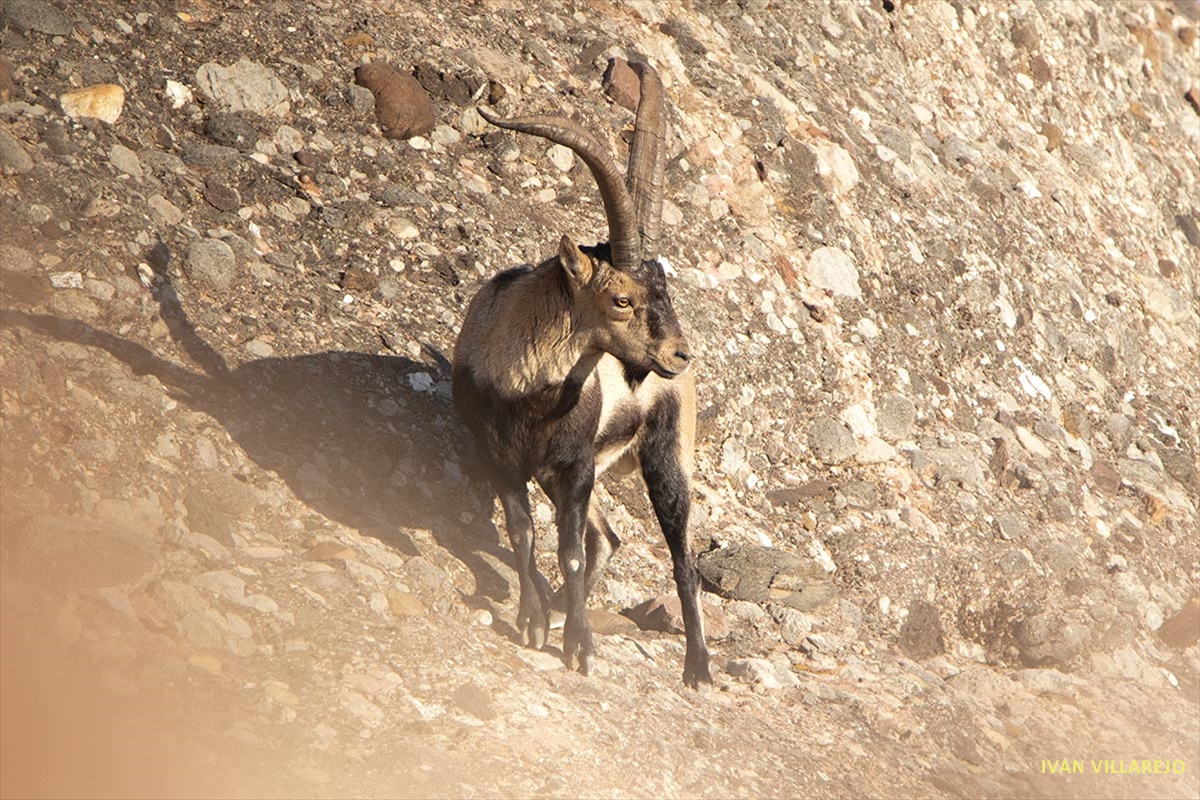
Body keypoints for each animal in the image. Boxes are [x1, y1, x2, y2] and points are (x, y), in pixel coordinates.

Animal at [452, 62, 711, 689]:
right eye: (622, 298)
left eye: (666, 291)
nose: (679, 355)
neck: (527, 391)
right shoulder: (503, 460)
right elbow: (522, 536)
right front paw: (533, 620)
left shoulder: (573, 466)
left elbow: (567, 551)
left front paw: (578, 646)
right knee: (609, 537)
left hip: (664, 456)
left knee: (682, 556)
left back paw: (698, 667)